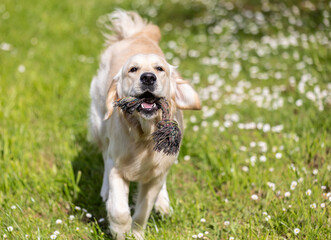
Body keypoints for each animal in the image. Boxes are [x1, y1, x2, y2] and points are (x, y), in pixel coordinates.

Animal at [89, 10, 200, 240]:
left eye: (160, 68)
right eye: (133, 69)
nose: (148, 77)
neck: (144, 134)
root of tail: (135, 34)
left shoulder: (156, 173)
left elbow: (142, 211)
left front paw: (137, 233)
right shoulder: (118, 167)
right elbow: (119, 209)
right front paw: (120, 230)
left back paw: (164, 203)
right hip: (99, 122)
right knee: (104, 154)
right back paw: (105, 191)